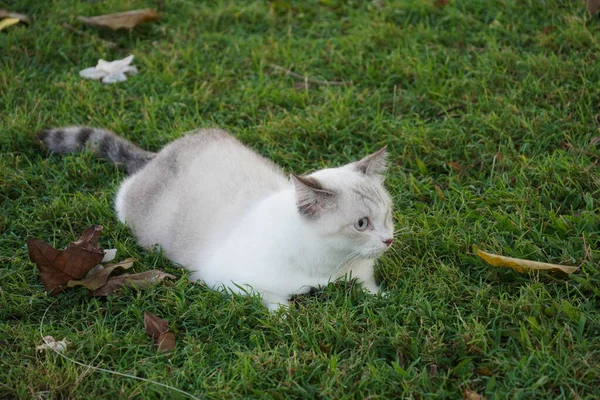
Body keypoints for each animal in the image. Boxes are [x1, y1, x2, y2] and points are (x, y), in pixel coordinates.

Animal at [37, 127, 394, 310]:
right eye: (361, 224)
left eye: (387, 214)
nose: (389, 239)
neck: (328, 267)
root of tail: (161, 153)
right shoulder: (227, 280)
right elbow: (275, 300)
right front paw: (284, 316)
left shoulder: (360, 272)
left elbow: (368, 287)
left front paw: (385, 298)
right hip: (131, 211)